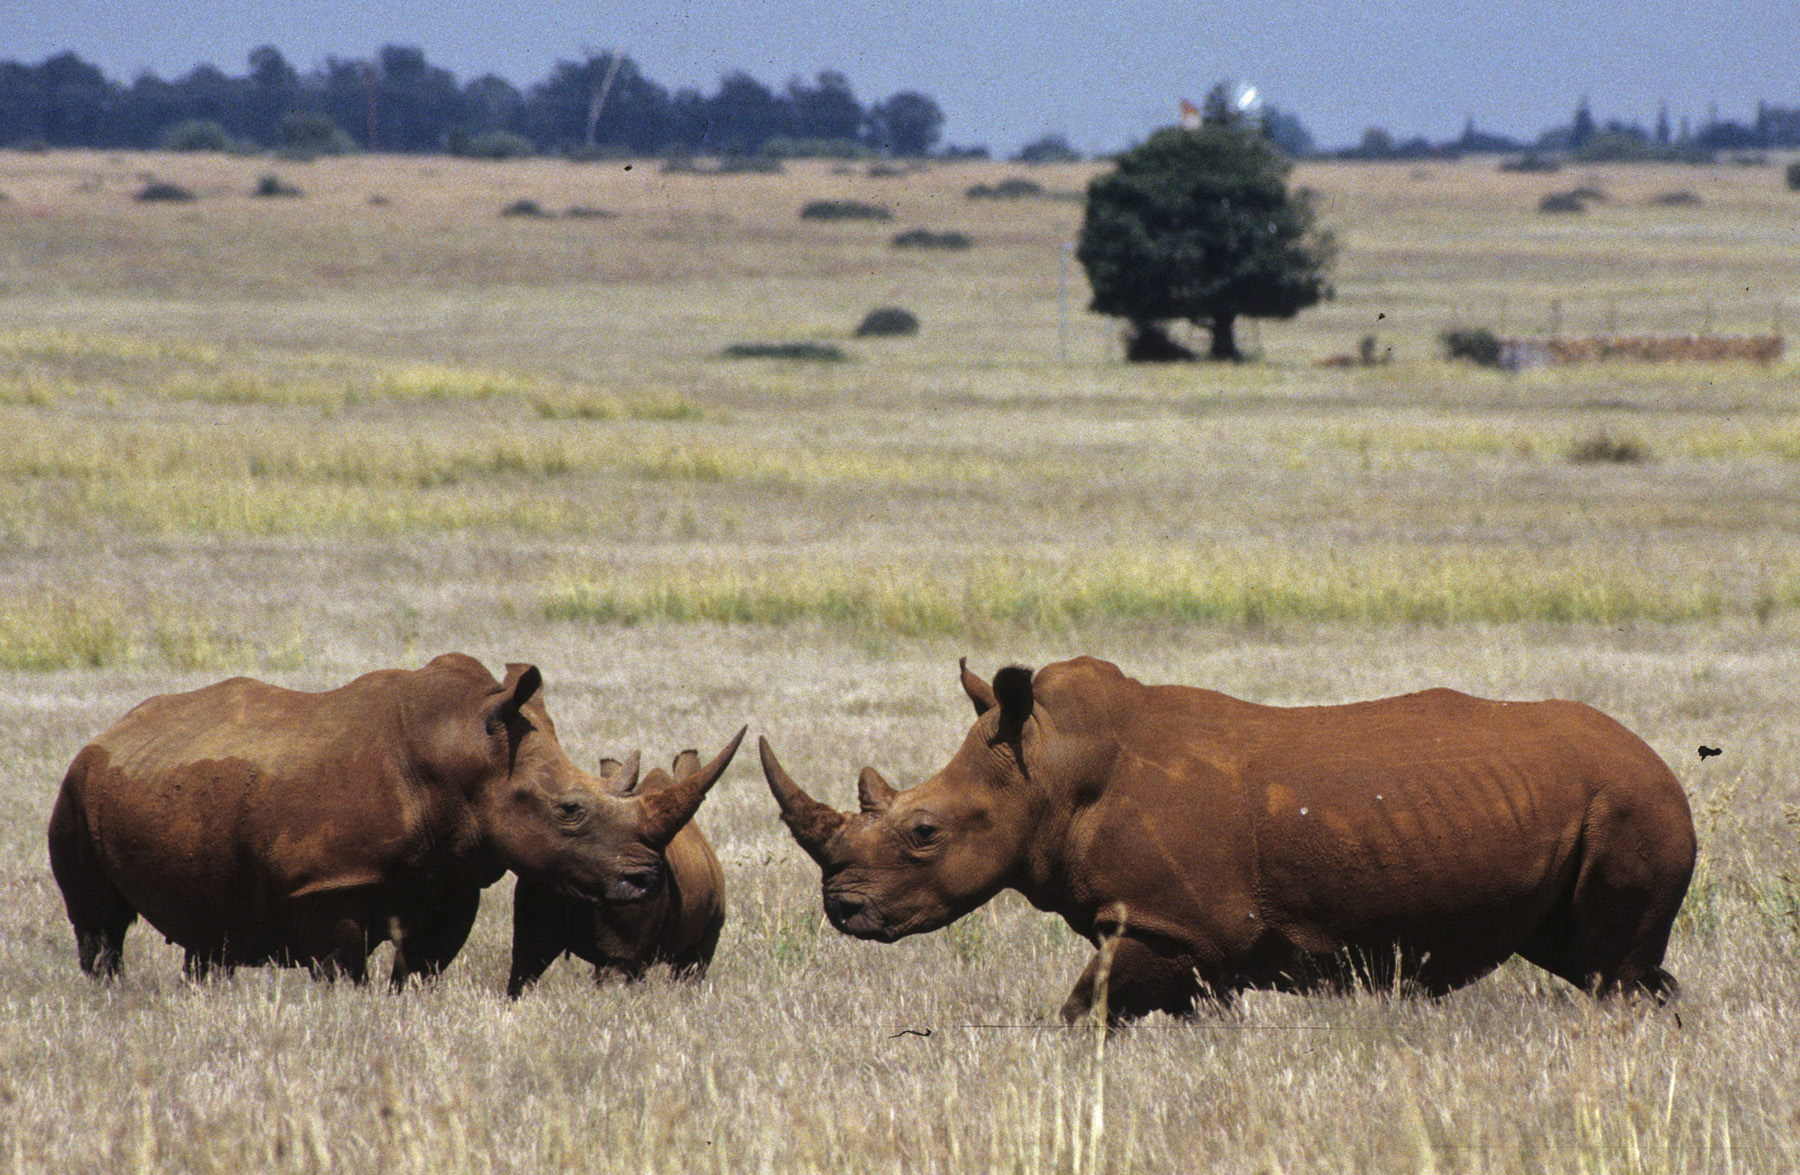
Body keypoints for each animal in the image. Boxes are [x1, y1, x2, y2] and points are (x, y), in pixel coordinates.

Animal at [507, 748, 727, 997]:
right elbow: (688, 976)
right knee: (615, 968)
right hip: (626, 888)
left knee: (527, 960)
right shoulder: (706, 937)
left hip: (545, 879)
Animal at [761, 656, 1696, 1024]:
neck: (1047, 771)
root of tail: (1656, 756)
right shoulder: (1185, 938)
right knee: (1601, 963)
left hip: (1631, 800)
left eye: (923, 832)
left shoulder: (1180, 924)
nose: (842, 910)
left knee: (1610, 967)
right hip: (1601, 800)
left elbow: (1084, 1008)